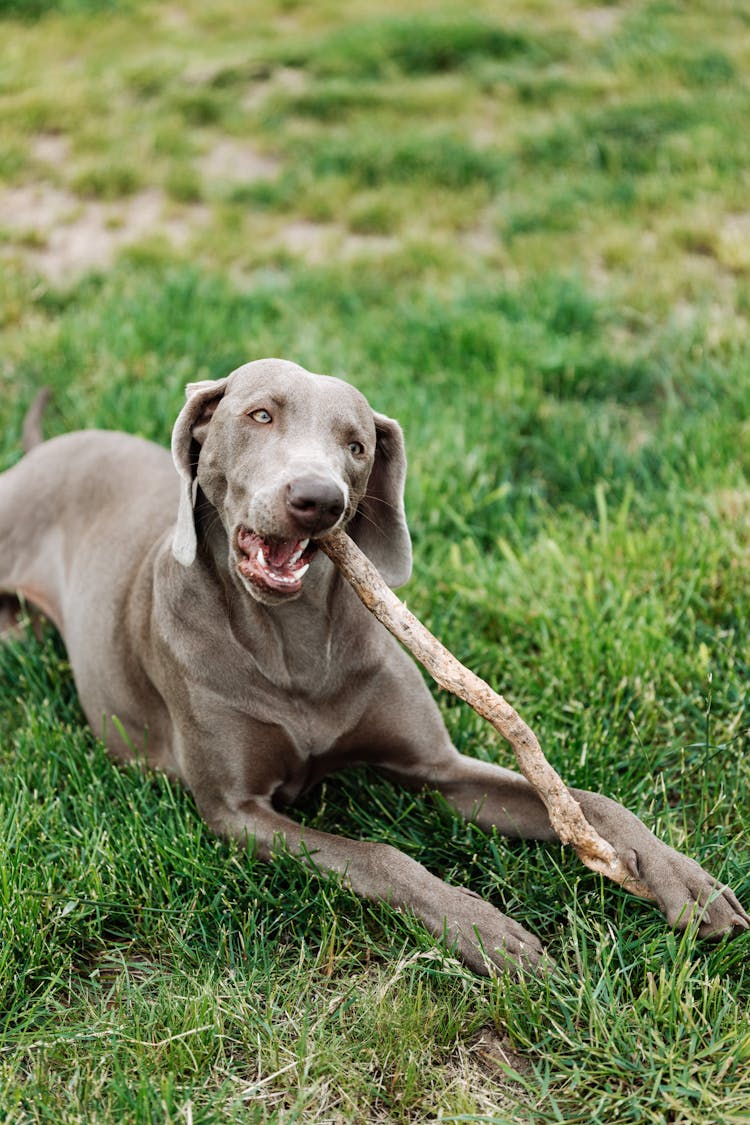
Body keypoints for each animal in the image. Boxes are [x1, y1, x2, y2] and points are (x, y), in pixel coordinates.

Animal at [2, 360, 746, 976]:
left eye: (357, 445)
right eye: (260, 415)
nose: (318, 498)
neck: (294, 639)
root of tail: (46, 448)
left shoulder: (440, 769)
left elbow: (590, 800)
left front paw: (685, 878)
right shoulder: (235, 812)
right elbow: (380, 854)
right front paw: (481, 928)